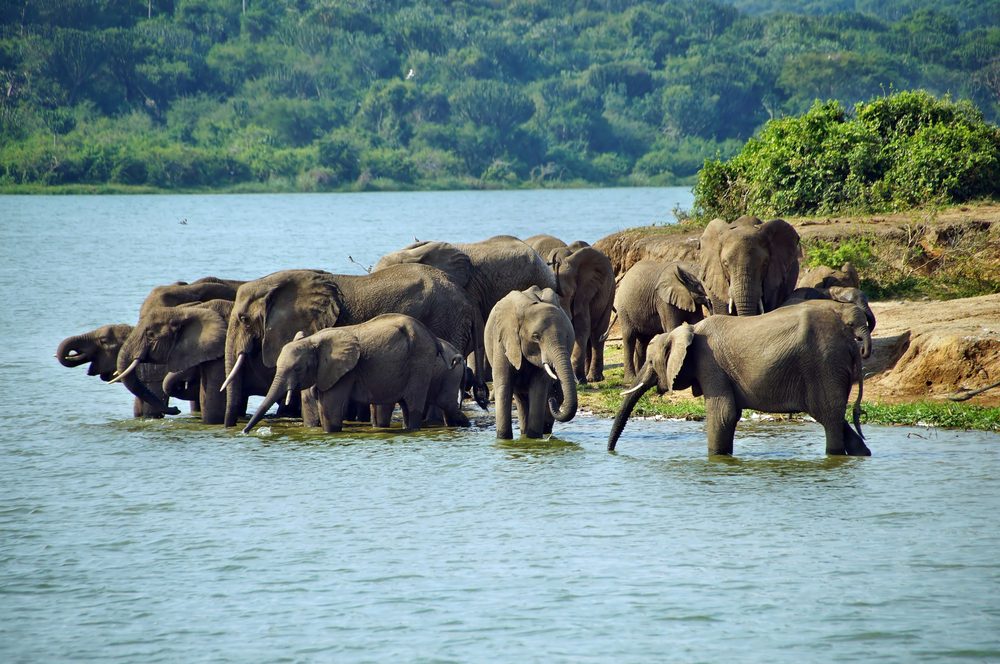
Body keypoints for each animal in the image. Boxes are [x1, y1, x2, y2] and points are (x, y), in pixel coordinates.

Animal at [243, 314, 462, 434]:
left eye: (297, 368)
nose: (245, 432)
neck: (314, 340)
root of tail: (433, 338)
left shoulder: (343, 372)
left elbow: (330, 408)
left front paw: (329, 432)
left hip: (420, 362)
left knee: (414, 405)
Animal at [485, 286, 578, 439]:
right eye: (536, 337)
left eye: (568, 336)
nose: (552, 401)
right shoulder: (502, 342)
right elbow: (504, 385)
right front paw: (504, 439)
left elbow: (539, 387)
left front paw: (533, 438)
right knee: (519, 397)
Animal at [609, 300, 872, 457]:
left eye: (651, 363)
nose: (610, 452)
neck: (688, 330)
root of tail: (850, 341)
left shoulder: (710, 364)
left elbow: (723, 414)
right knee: (833, 417)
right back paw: (862, 453)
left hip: (825, 366)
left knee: (829, 418)